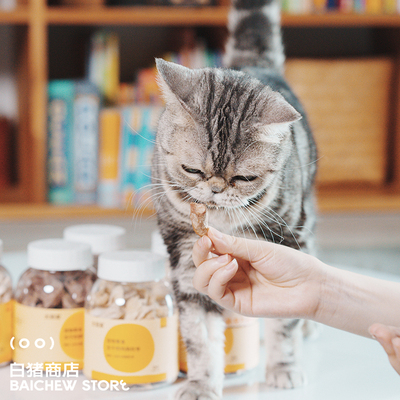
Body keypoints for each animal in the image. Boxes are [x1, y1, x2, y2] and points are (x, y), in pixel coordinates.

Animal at [152, 0, 318, 396]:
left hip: (306, 219)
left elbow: (283, 325)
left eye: (243, 178)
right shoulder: (186, 256)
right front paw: (200, 384)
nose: (215, 188)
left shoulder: (288, 238)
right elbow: (199, 336)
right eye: (192, 170)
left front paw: (283, 367)